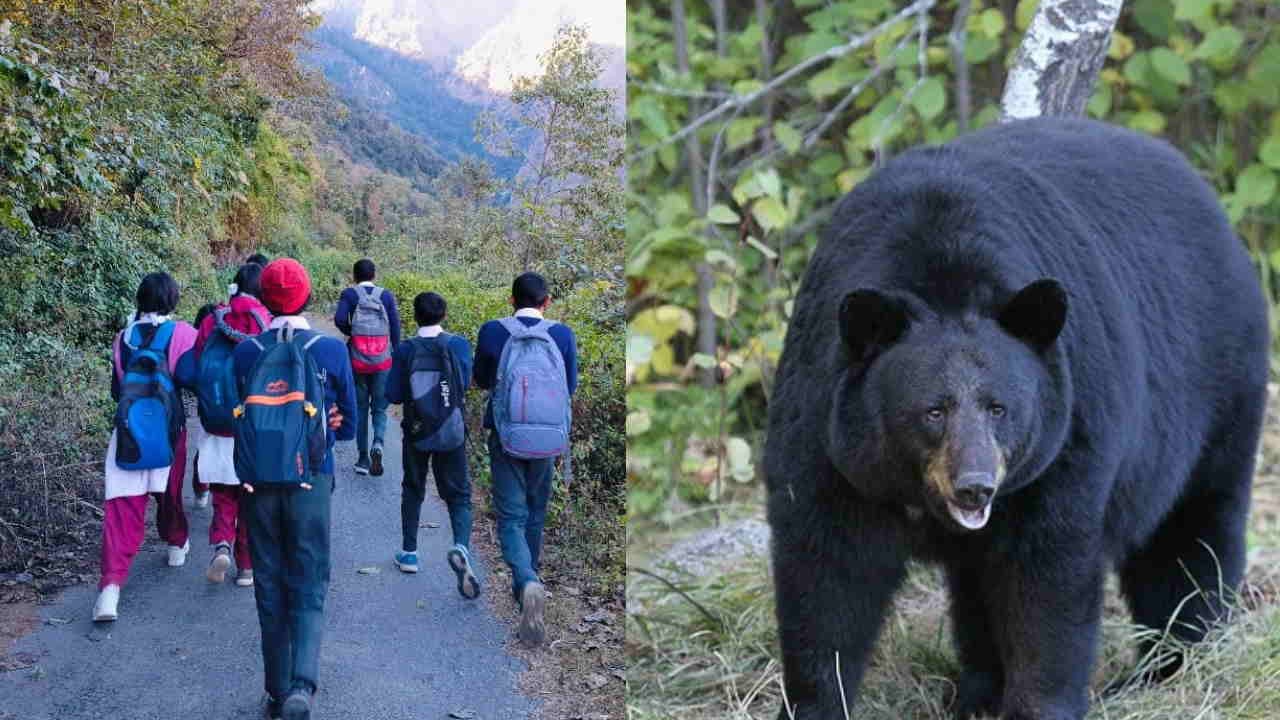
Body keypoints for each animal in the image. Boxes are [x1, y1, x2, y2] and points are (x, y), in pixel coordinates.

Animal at [763, 117, 1269, 720]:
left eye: (999, 408)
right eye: (933, 410)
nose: (975, 486)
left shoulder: (1066, 439)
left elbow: (1045, 580)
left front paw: (1038, 704)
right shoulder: (827, 430)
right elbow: (826, 571)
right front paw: (814, 701)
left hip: (1215, 393)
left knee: (1188, 535)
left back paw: (1174, 665)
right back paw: (978, 693)